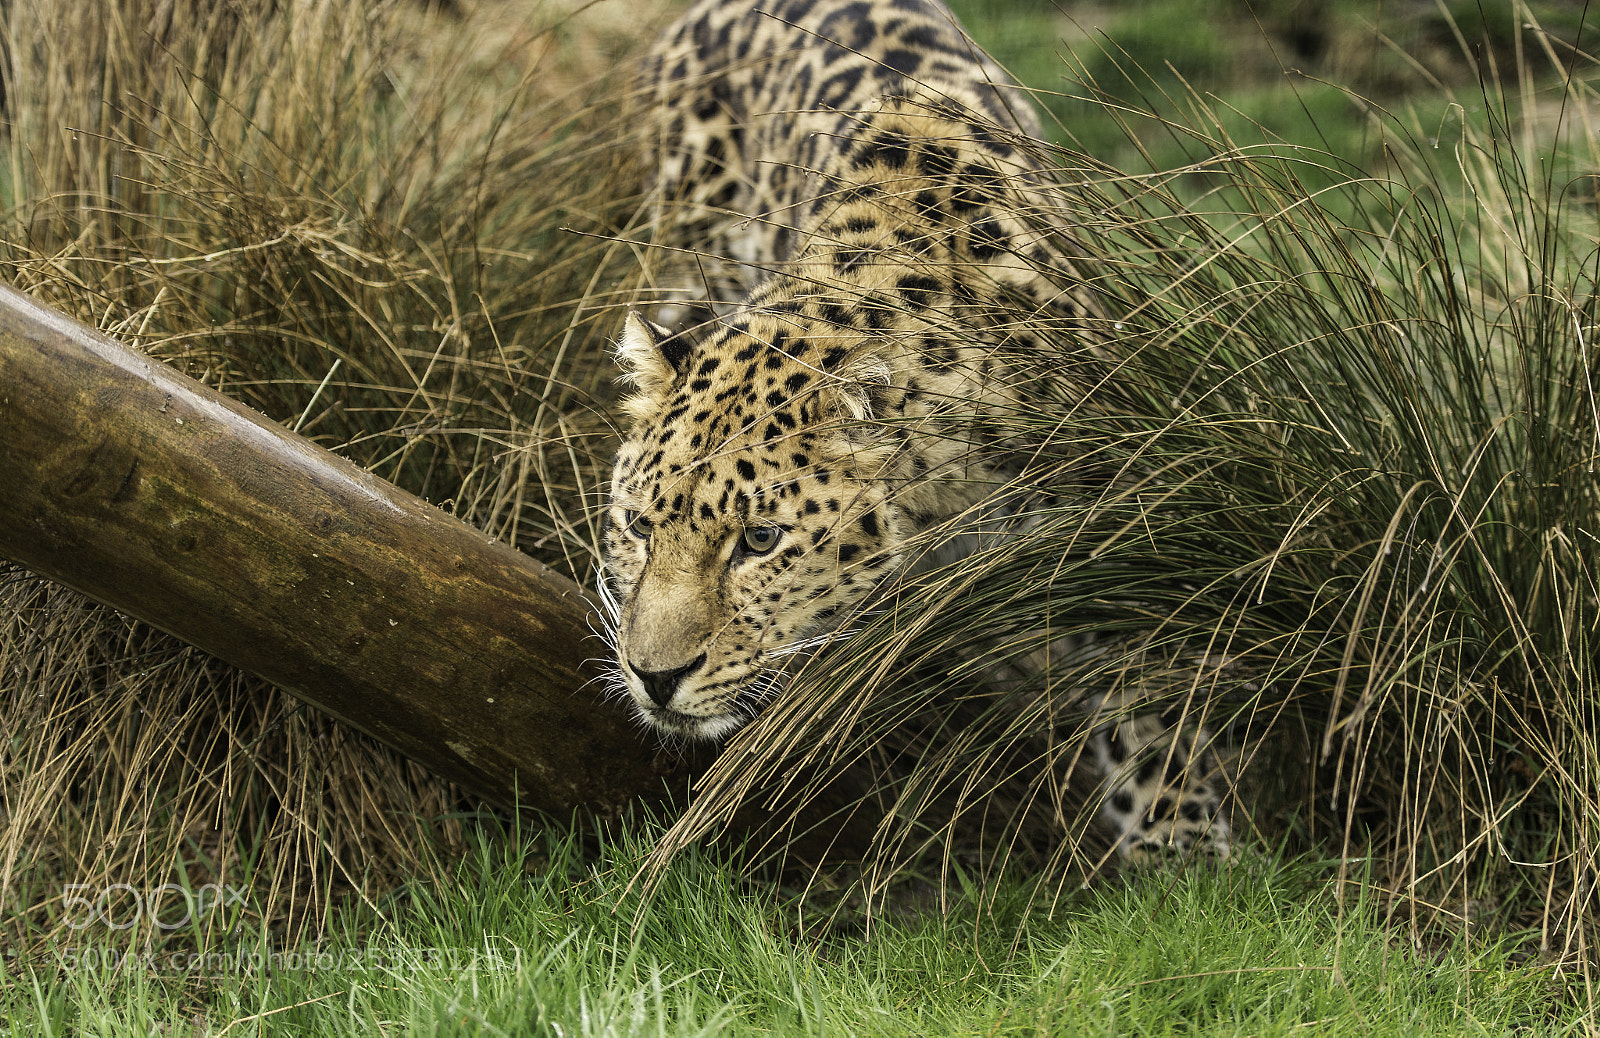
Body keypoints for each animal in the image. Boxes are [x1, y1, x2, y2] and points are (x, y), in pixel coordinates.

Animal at [600, 0, 1234, 861]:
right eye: (638, 528)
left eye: (759, 541)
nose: (654, 678)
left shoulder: (1111, 518)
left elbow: (1146, 681)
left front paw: (1182, 843)